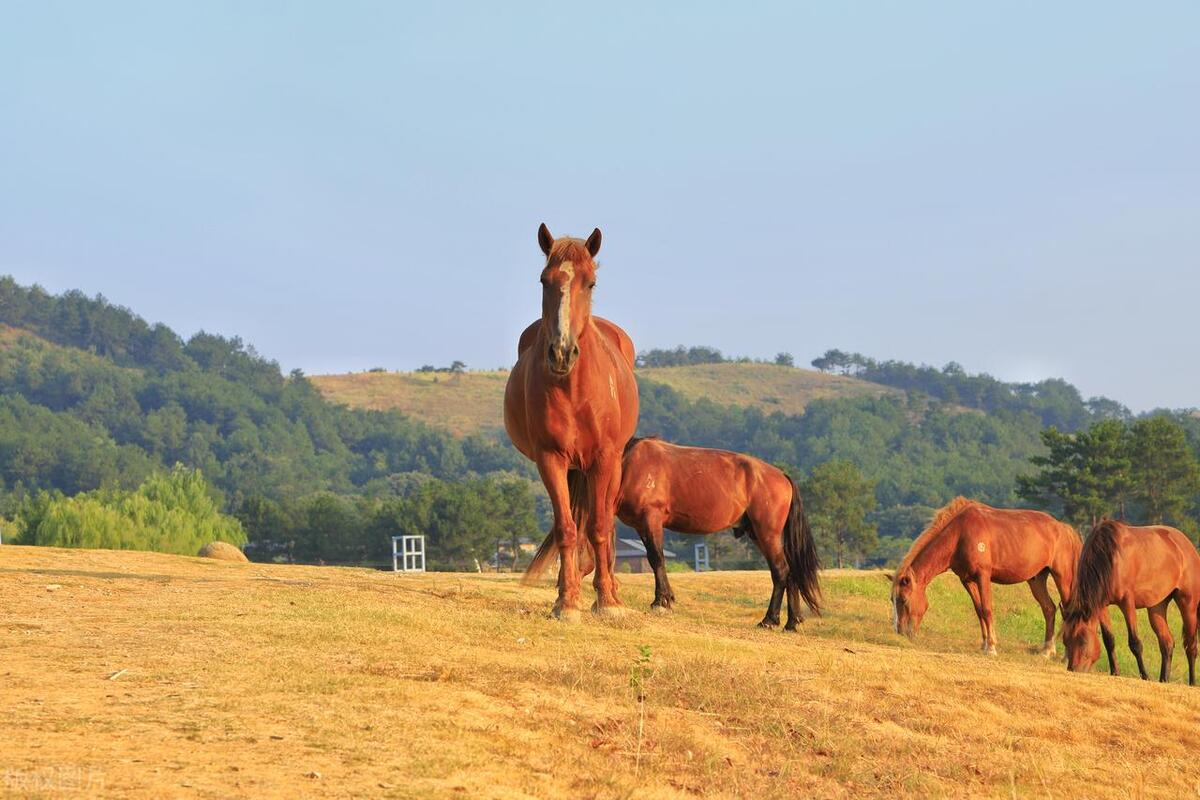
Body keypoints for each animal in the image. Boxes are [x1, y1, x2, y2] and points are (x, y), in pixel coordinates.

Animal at [504, 221, 643, 623]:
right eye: (544, 280)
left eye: (590, 282)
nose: (562, 353)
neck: (575, 389)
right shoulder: (552, 459)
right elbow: (566, 527)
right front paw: (566, 602)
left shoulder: (604, 459)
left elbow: (598, 526)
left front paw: (608, 601)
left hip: (610, 467)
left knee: (605, 522)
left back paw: (608, 590)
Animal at [614, 438, 820, 633]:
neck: (631, 464)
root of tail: (782, 477)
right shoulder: (641, 526)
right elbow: (651, 558)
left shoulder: (651, 519)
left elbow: (657, 559)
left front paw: (661, 602)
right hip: (757, 534)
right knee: (790, 573)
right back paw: (791, 622)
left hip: (767, 534)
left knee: (781, 571)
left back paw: (769, 620)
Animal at [888, 501, 1084, 657]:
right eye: (892, 599)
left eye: (903, 599)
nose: (900, 632)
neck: (960, 534)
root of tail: (1065, 529)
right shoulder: (967, 580)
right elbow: (979, 610)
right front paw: (984, 644)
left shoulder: (983, 576)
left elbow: (988, 609)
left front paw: (991, 647)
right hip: (1036, 579)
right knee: (1049, 609)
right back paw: (1047, 650)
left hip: (1063, 578)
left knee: (1068, 610)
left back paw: (1067, 655)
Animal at [1065, 522, 1195, 686]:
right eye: (1065, 641)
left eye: (1082, 641)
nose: (1073, 669)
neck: (1110, 557)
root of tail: (1186, 544)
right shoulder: (1102, 605)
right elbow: (1109, 639)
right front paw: (1115, 672)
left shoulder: (1127, 603)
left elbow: (1135, 643)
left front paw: (1145, 676)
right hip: (1157, 607)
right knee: (1167, 643)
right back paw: (1163, 679)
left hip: (1188, 603)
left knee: (1191, 646)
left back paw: (1192, 682)